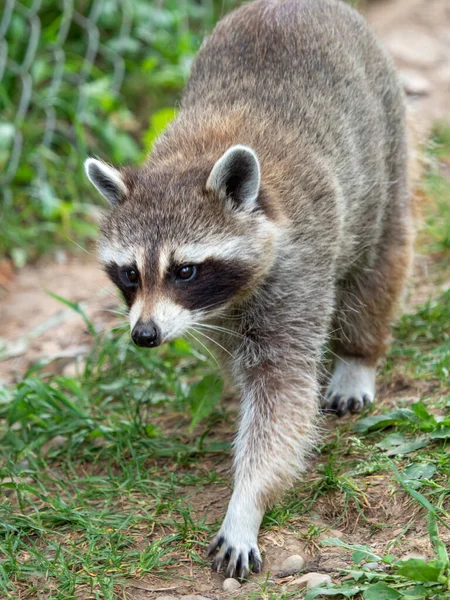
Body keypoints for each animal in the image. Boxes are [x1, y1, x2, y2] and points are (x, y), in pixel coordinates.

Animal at [83, 0, 412, 580]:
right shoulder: (208, 317)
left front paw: (247, 501)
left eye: (184, 270)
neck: (188, 160)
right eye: (130, 274)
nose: (145, 335)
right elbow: (242, 369)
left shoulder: (297, 268)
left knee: (378, 260)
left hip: (384, 136)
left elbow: (281, 398)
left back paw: (359, 353)